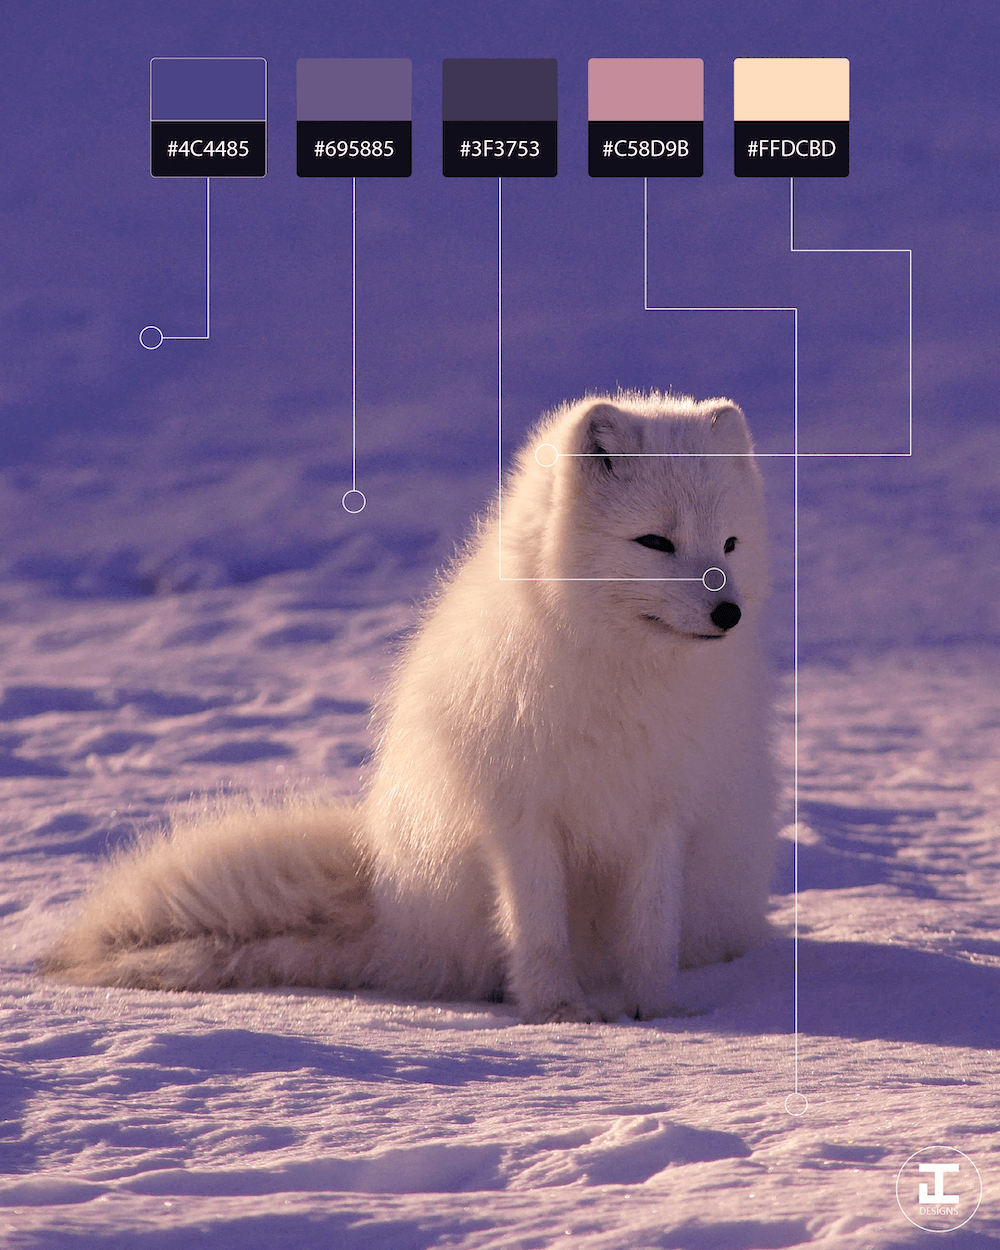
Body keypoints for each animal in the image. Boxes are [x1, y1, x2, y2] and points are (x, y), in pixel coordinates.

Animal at [41, 392, 777, 1023]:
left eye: (730, 544)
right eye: (656, 542)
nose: (729, 613)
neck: (624, 677)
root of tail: (389, 912)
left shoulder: (663, 814)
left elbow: (651, 933)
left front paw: (658, 1011)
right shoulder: (520, 815)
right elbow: (538, 929)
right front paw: (559, 1012)